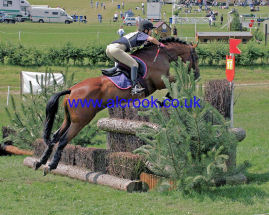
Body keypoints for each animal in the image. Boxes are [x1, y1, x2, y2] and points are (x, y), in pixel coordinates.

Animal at [34, 36, 199, 175]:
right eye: (196, 57)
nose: (197, 75)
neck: (160, 56)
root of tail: (71, 90)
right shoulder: (160, 80)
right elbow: (174, 81)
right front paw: (165, 99)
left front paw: (166, 98)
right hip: (80, 121)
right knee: (62, 140)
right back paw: (51, 165)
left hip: (68, 119)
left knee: (55, 137)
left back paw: (40, 161)